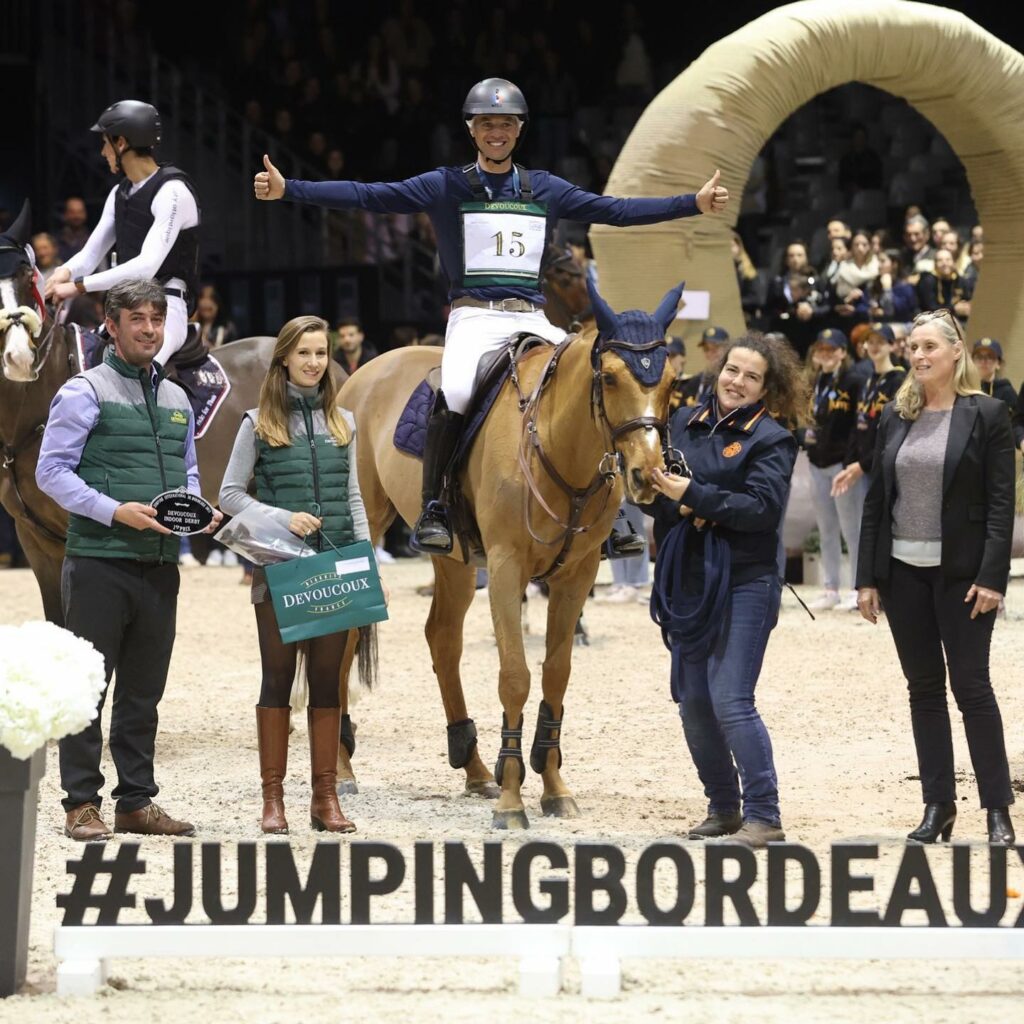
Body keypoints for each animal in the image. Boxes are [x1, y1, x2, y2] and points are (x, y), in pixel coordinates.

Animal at [339, 280, 684, 831]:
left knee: (442, 637)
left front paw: (551, 784)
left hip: (455, 560)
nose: (648, 474)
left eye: (672, 383)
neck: (560, 448)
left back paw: (475, 768)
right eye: (609, 377)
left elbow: (556, 673)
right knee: (347, 633)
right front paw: (511, 798)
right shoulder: (506, 569)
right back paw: (343, 766)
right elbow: (516, 676)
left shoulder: (576, 575)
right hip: (365, 527)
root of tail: (364, 372)